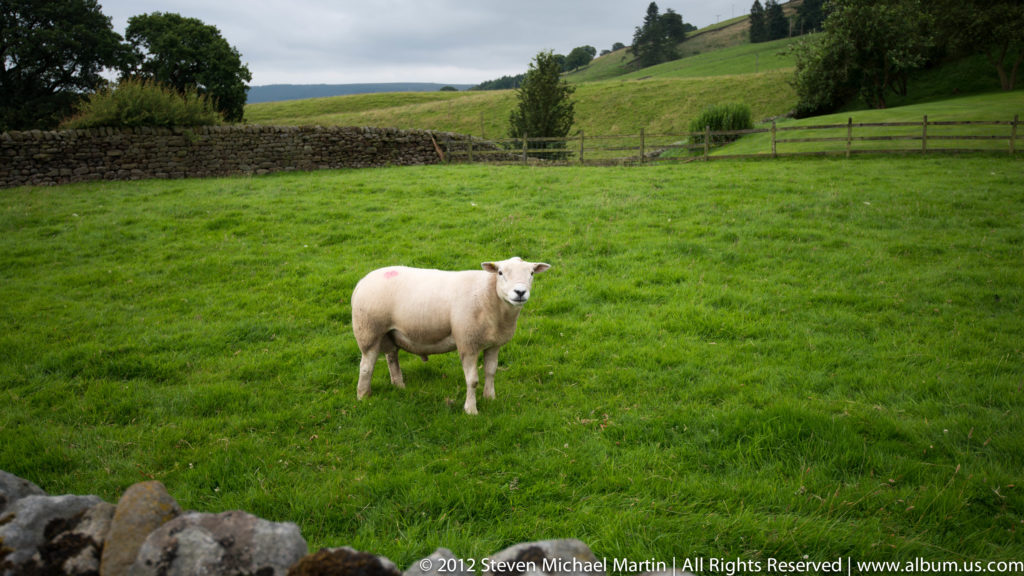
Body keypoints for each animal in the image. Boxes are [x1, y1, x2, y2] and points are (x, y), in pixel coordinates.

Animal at [351, 257, 551, 414]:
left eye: (532, 273)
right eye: (500, 272)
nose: (520, 292)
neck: (487, 295)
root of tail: (362, 282)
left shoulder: (494, 344)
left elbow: (491, 372)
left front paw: (490, 397)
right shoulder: (467, 343)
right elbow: (472, 381)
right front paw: (471, 410)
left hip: (391, 333)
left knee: (392, 357)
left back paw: (399, 386)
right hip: (368, 331)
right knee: (366, 367)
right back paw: (363, 396)